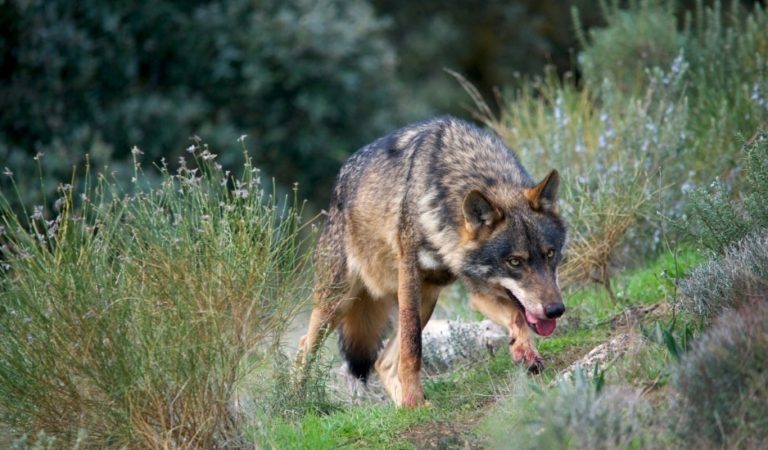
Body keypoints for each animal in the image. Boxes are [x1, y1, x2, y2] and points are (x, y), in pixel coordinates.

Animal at [297, 116, 567, 407]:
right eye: (515, 262)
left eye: (550, 254)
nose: (556, 310)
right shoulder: (410, 276)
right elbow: (412, 348)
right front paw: (414, 398)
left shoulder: (478, 290)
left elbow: (517, 315)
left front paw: (525, 352)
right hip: (338, 303)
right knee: (304, 348)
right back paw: (297, 400)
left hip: (426, 299)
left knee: (382, 363)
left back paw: (405, 408)